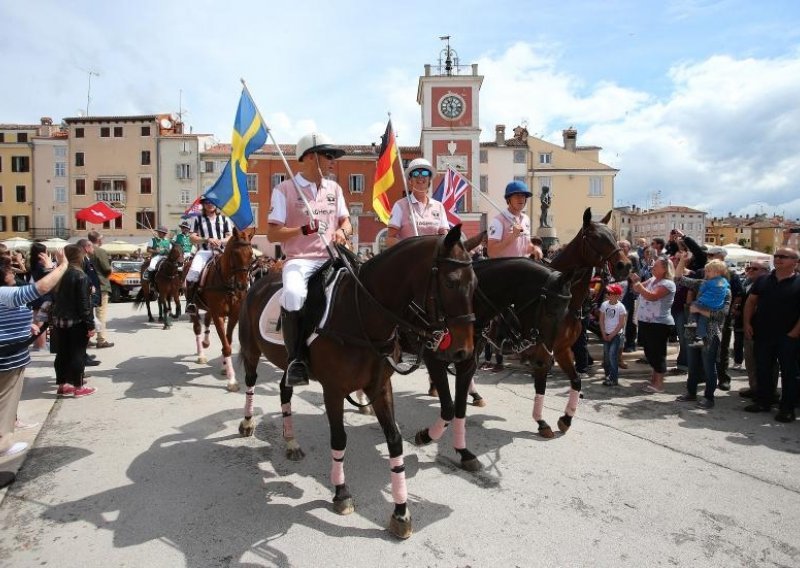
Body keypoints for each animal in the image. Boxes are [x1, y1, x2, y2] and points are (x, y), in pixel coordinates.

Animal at [191, 226, 253, 390]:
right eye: (235, 254)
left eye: (251, 254)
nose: (242, 286)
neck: (228, 283)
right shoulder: (219, 315)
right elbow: (226, 346)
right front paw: (232, 380)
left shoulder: (233, 315)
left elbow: (228, 341)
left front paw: (225, 368)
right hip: (194, 307)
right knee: (197, 328)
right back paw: (201, 355)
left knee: (207, 320)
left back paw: (205, 342)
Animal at [236, 225, 476, 536]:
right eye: (450, 282)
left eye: (475, 284)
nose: (463, 351)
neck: (360, 314)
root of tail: (258, 281)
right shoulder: (333, 390)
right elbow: (339, 438)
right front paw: (341, 493)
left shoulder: (380, 386)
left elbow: (394, 440)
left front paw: (401, 512)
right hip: (252, 351)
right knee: (251, 383)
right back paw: (247, 423)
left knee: (284, 390)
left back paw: (291, 443)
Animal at [536, 211, 636, 438]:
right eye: (595, 237)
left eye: (614, 235)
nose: (624, 265)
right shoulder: (544, 351)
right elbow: (541, 385)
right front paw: (542, 422)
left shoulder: (562, 349)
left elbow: (576, 380)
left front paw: (566, 419)